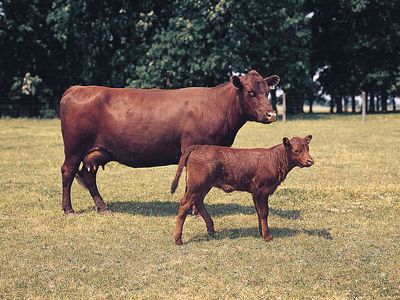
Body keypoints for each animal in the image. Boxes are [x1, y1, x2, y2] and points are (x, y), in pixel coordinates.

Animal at [59, 69, 280, 213]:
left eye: (268, 91)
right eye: (250, 92)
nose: (271, 114)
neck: (216, 106)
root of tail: (76, 89)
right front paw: (194, 211)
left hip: (94, 152)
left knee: (88, 176)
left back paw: (103, 207)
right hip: (74, 147)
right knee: (68, 172)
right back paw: (68, 209)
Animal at [170, 137, 314, 245]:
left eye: (307, 148)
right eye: (296, 150)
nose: (310, 161)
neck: (276, 159)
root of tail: (198, 147)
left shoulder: (255, 192)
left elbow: (258, 211)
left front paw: (261, 232)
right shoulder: (263, 191)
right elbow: (264, 212)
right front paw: (267, 236)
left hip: (203, 186)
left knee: (198, 202)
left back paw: (211, 230)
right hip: (197, 185)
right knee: (185, 204)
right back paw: (178, 239)